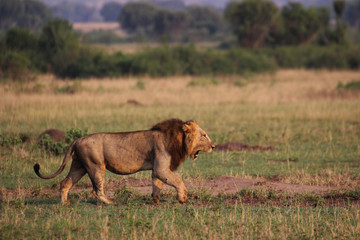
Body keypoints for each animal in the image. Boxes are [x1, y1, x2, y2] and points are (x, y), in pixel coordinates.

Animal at [33, 118, 214, 204]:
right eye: (204, 135)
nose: (213, 146)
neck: (178, 140)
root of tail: (77, 139)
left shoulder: (157, 169)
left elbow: (156, 184)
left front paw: (157, 200)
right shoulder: (162, 167)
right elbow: (178, 181)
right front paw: (182, 198)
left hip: (79, 166)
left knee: (65, 182)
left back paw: (65, 203)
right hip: (96, 165)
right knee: (96, 190)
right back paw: (110, 202)